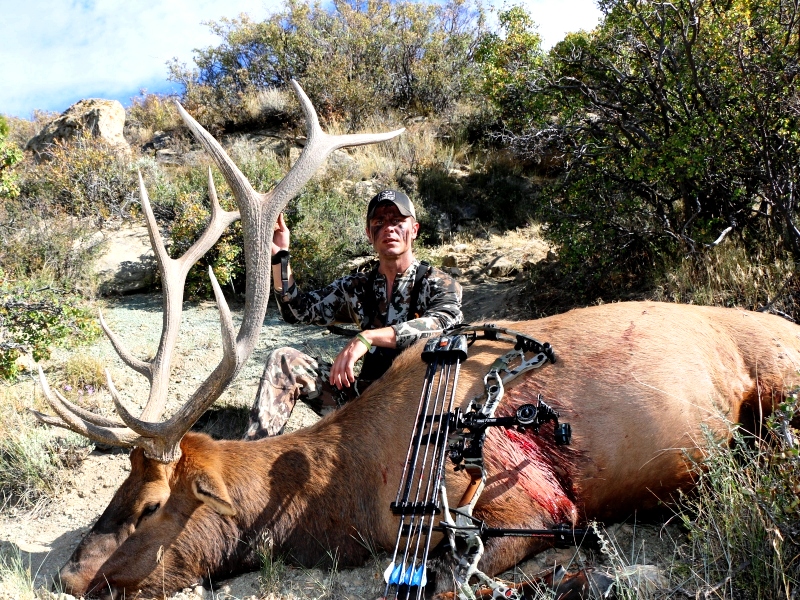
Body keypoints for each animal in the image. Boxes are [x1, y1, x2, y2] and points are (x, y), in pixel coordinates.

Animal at [33, 81, 800, 600]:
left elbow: (447, 578)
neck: (344, 494)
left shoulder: (526, 504)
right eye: (116, 489)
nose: (66, 576)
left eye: (151, 507)